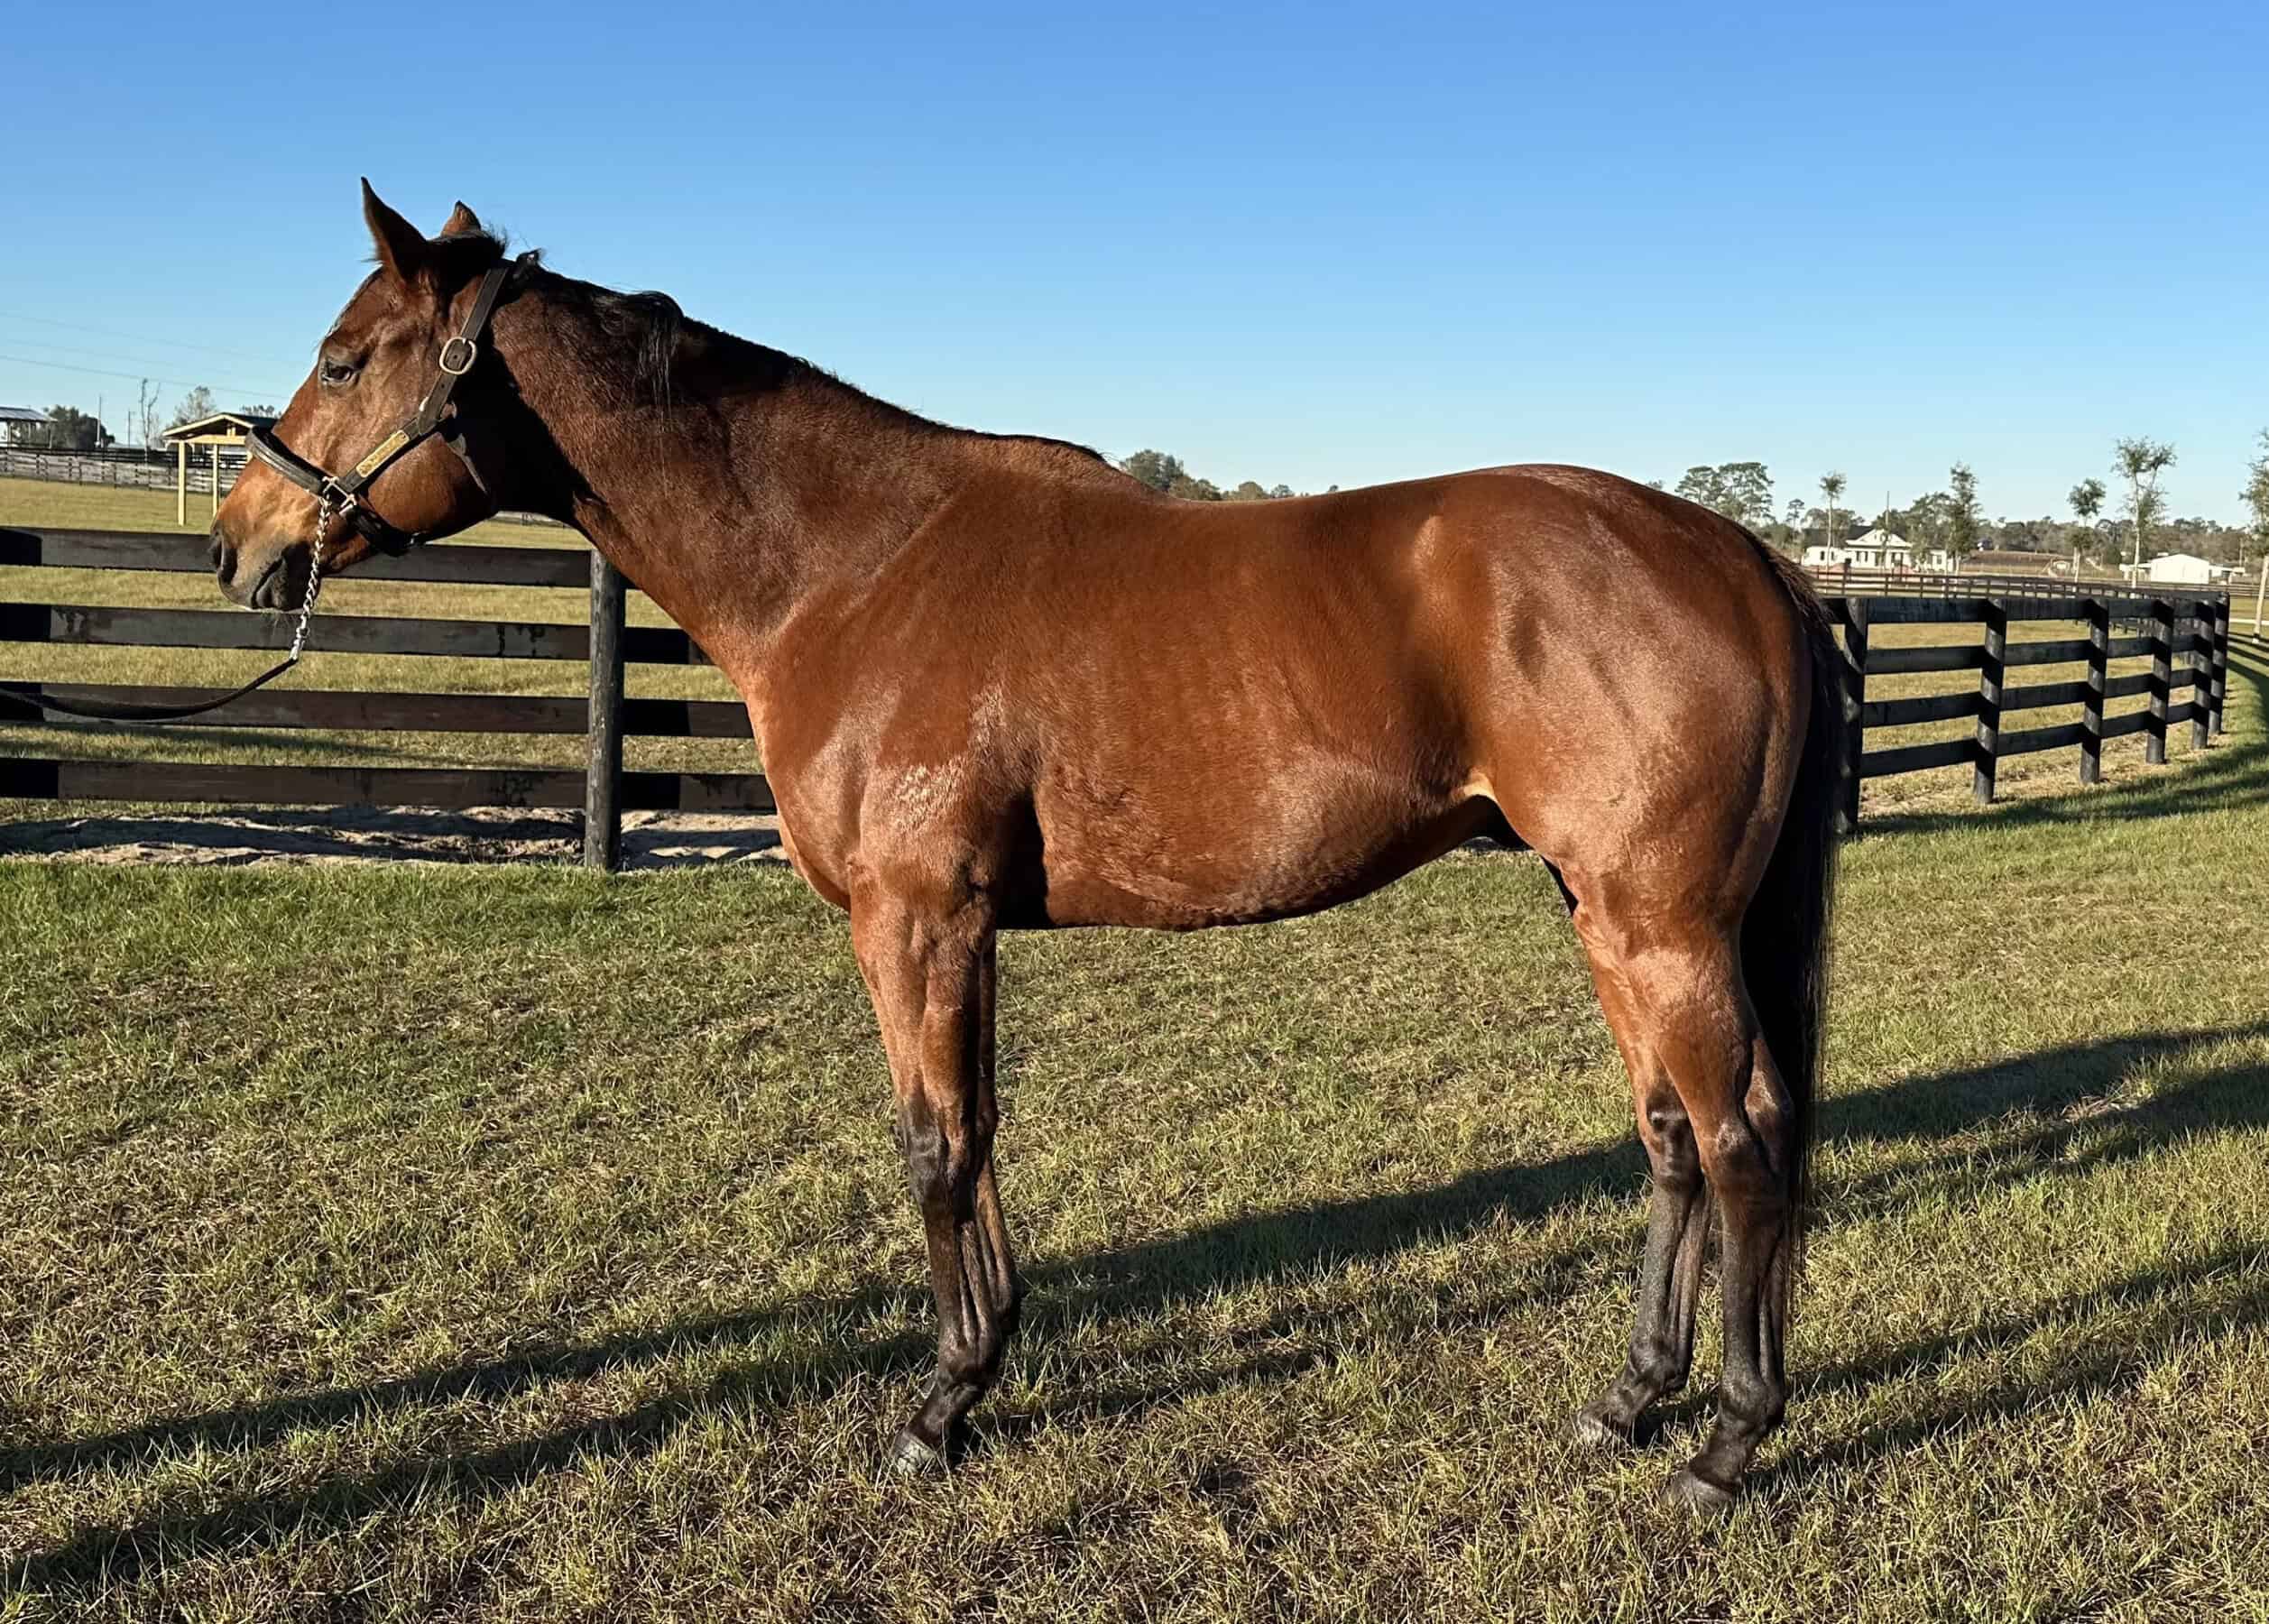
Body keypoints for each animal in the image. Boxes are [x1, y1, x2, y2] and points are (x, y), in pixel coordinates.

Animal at [210, 183, 1841, 1512]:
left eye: (344, 357)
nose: (239, 544)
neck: (853, 565)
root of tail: (1743, 556)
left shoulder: (912, 916)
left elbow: (931, 1145)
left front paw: (935, 1411)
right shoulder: (967, 925)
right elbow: (980, 1133)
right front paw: (983, 1366)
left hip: (1658, 926)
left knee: (1744, 1143)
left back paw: (1724, 1444)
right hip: (1601, 913)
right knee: (1672, 1139)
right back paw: (1629, 1402)